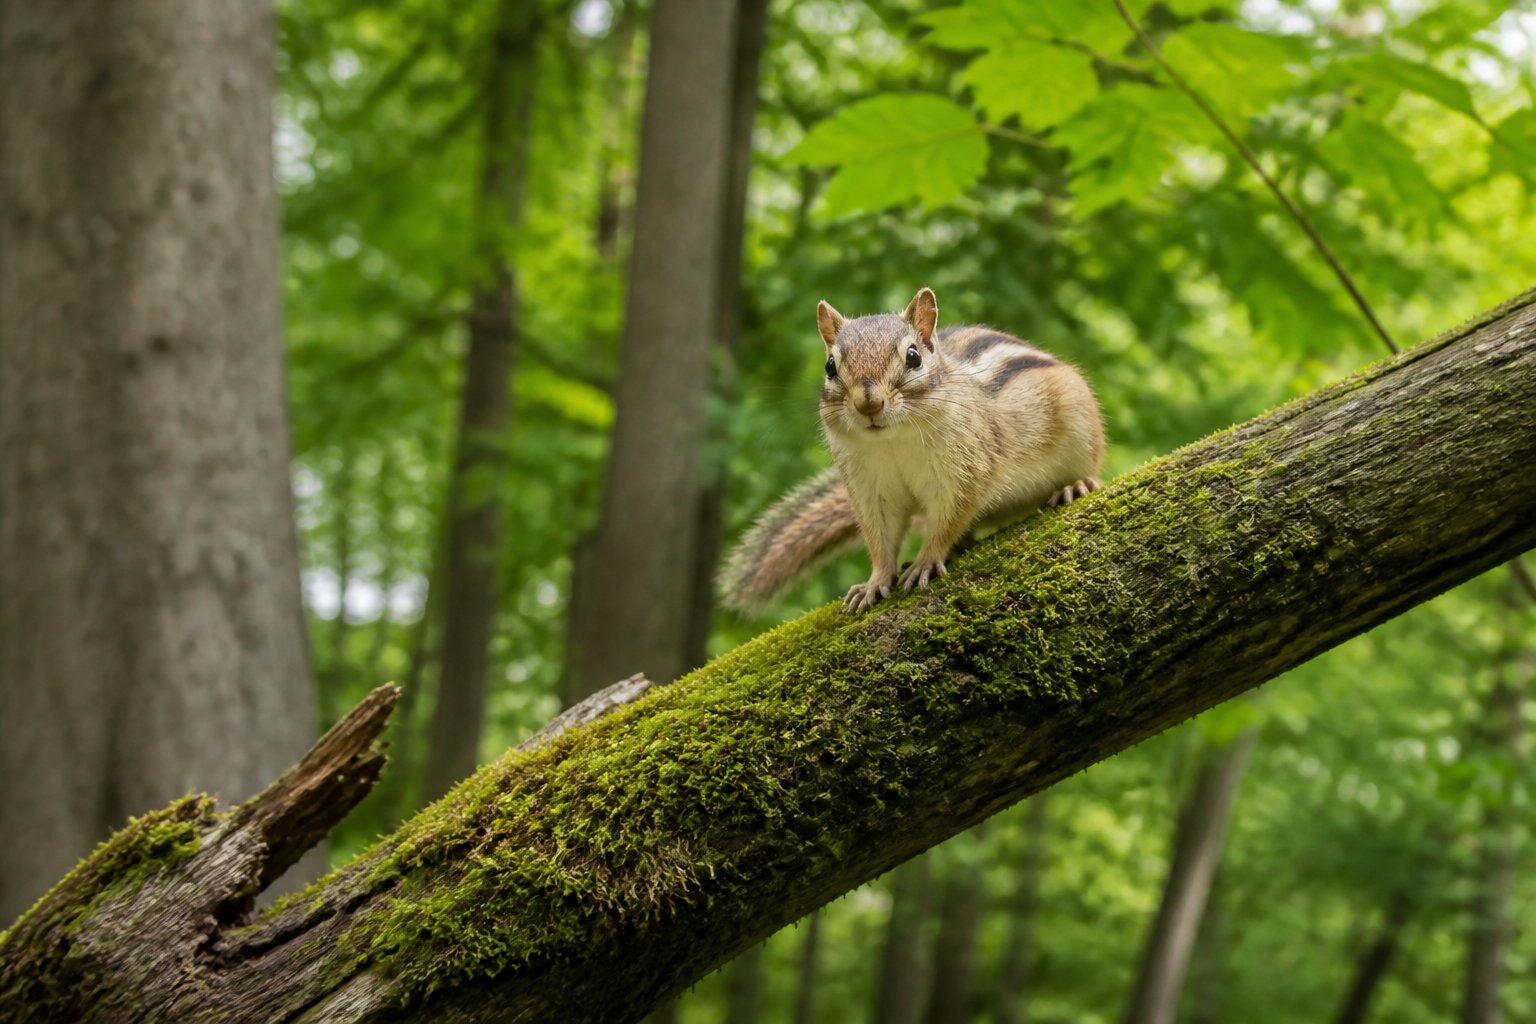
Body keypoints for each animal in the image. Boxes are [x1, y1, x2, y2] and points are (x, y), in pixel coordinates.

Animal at [720, 287, 1104, 614]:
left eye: (913, 356)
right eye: (830, 366)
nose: (868, 404)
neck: (893, 441)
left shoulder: (964, 470)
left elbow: (948, 519)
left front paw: (924, 561)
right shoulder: (870, 488)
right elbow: (881, 537)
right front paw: (874, 582)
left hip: (1080, 423)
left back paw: (1075, 485)